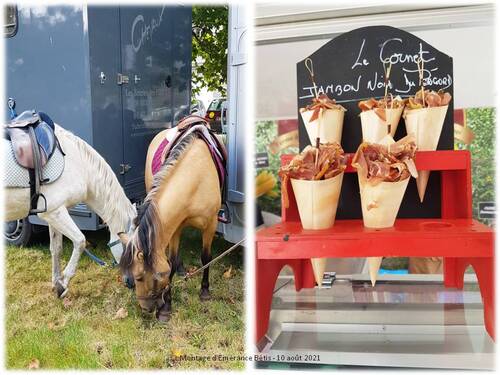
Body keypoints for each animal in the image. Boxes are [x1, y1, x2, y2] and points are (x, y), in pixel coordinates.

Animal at [4, 125, 137, 298]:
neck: (78, 164)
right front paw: (63, 284)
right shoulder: (56, 213)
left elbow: (56, 248)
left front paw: (56, 283)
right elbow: (80, 241)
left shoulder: (53, 213)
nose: (133, 284)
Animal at [118, 117, 225, 320]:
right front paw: (167, 306)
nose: (145, 309)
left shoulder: (211, 224)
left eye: (139, 277)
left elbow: (206, 257)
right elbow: (171, 262)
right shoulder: (176, 225)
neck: (195, 178)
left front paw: (204, 291)